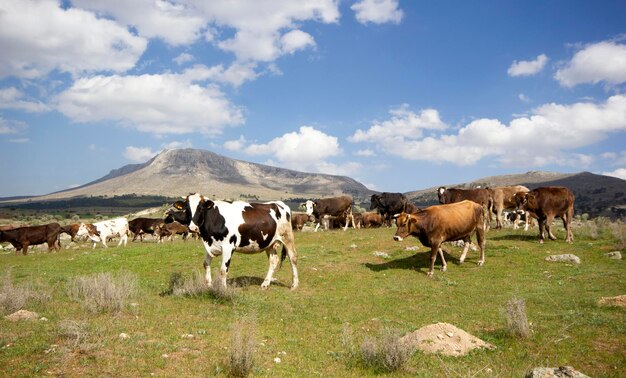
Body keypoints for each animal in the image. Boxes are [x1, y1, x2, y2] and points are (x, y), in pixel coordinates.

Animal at [169, 193, 298, 290]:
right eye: (187, 209)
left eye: (201, 208)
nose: (192, 228)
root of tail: (278, 203)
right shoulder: (210, 246)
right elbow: (206, 264)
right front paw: (209, 285)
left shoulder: (228, 247)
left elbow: (223, 270)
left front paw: (223, 289)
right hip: (269, 243)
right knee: (273, 261)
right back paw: (265, 283)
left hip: (287, 237)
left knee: (293, 258)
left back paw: (294, 285)